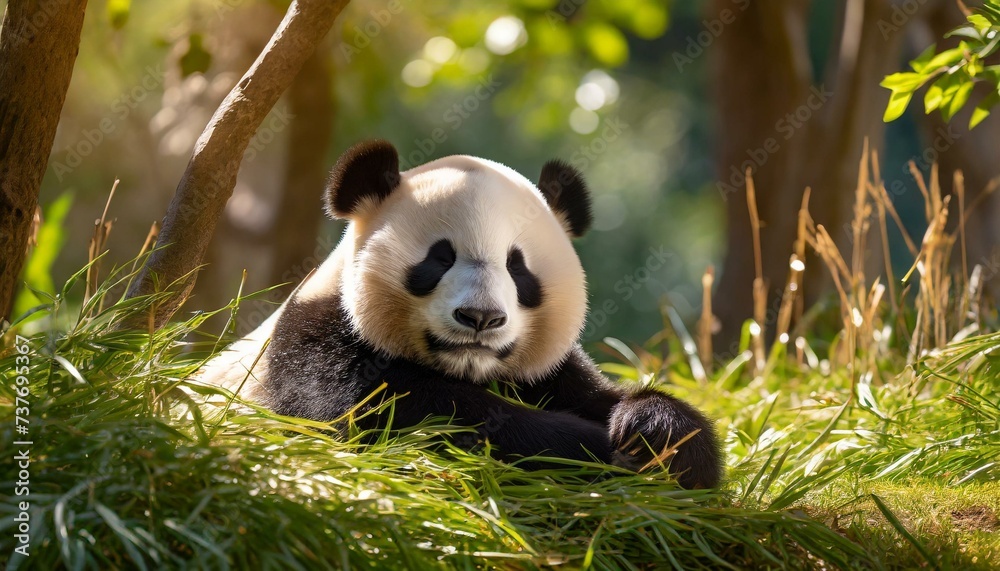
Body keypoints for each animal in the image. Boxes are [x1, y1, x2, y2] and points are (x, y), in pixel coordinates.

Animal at [199, 140, 722, 489]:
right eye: (440, 258)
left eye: (517, 267)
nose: (481, 318)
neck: (465, 369)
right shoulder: (315, 347)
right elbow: (406, 417)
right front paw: (595, 449)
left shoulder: (548, 372)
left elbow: (603, 397)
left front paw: (656, 431)